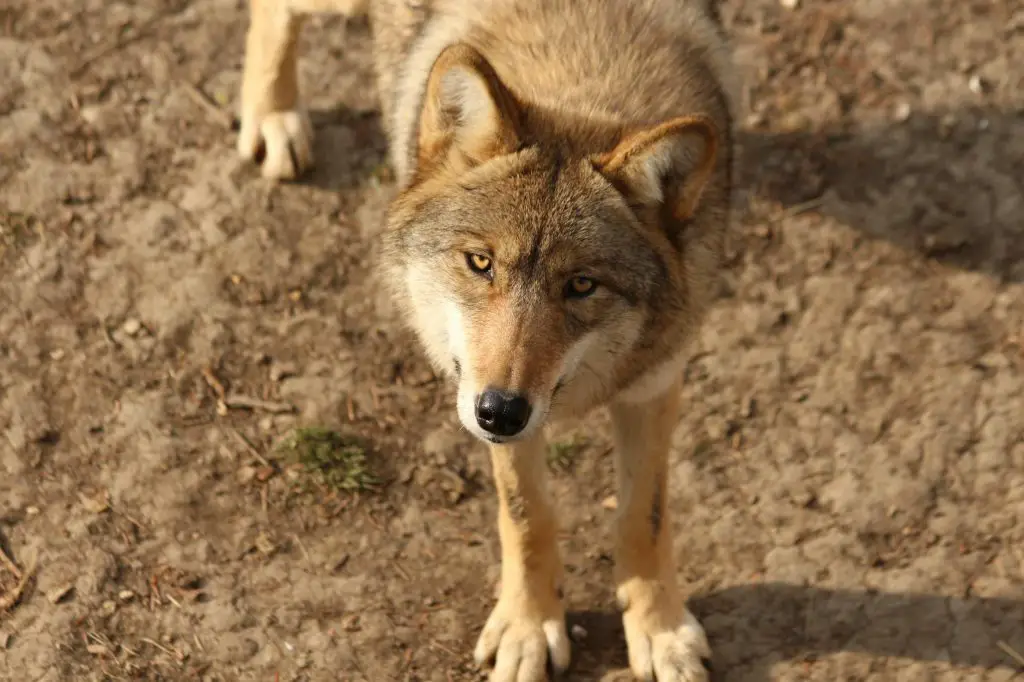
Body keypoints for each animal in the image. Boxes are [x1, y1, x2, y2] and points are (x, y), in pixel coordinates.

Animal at [237, 2, 737, 675]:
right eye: (480, 263)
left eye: (581, 285)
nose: (500, 411)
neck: (578, 59)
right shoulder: (481, 393)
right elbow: (527, 516)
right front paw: (530, 629)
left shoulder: (655, 382)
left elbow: (644, 516)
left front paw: (659, 632)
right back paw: (274, 118)